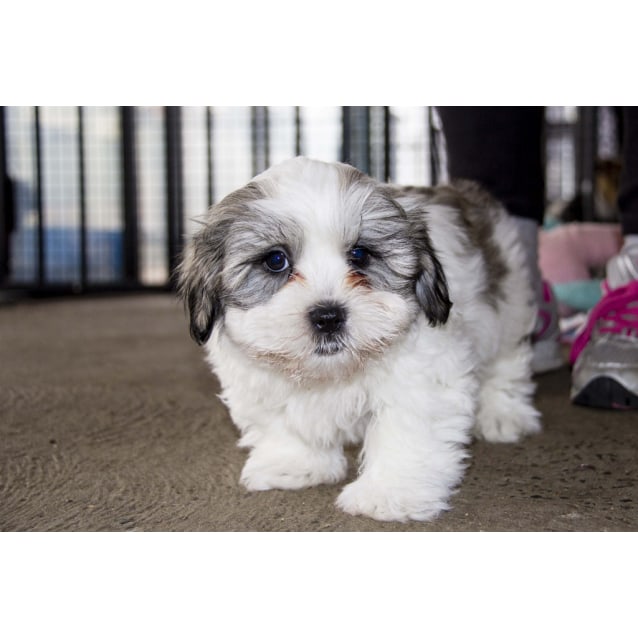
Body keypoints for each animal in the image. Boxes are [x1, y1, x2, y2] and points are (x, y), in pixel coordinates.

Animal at [178, 158, 544, 524]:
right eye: (275, 260)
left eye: (360, 255)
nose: (328, 316)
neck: (332, 374)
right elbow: (281, 419)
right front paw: (293, 463)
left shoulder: (421, 376)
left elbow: (406, 429)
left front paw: (391, 493)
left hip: (507, 304)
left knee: (506, 360)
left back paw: (503, 415)